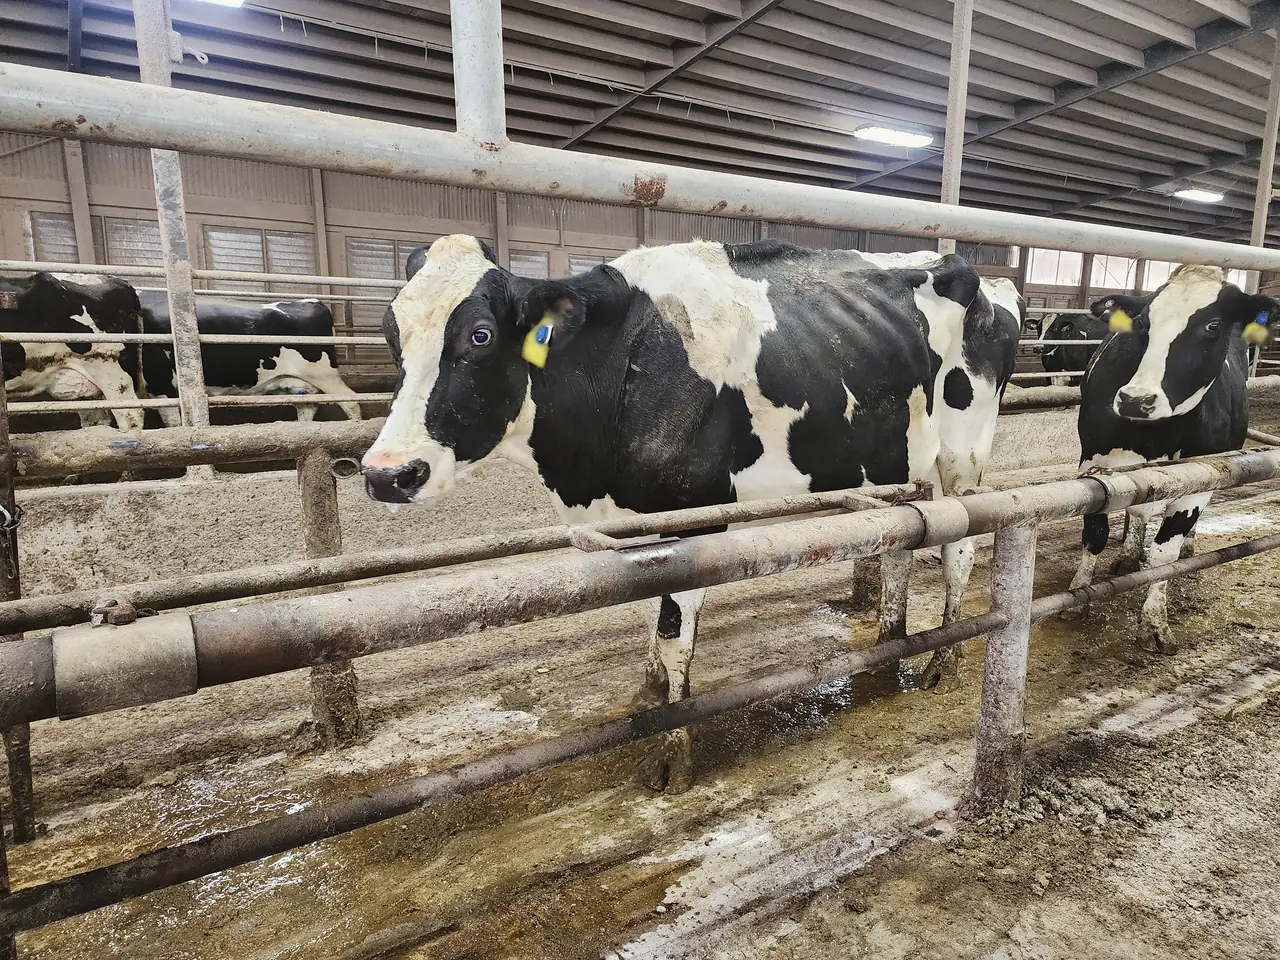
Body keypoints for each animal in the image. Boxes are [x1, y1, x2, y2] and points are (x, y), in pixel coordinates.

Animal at [136, 292, 362, 425]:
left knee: (350, 402)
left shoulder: (161, 384)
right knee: (306, 408)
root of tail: (312, 301)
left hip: (324, 373)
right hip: (296, 384)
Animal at [361, 235, 1019, 791]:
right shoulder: (638, 522)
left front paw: (671, 752)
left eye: (479, 336)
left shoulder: (695, 514)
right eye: (392, 332)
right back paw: (890, 642)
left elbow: (676, 634)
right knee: (902, 543)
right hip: (905, 468)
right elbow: (650, 614)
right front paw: (650, 692)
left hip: (962, 456)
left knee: (960, 548)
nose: (387, 473)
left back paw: (942, 659)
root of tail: (981, 276)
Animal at [1064, 265, 1275, 652]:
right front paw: (1078, 593)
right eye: (1142, 322)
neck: (1153, 436)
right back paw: (1129, 551)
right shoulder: (1094, 464)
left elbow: (1165, 555)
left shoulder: (1199, 481)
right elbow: (1095, 533)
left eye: (1213, 325)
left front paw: (1154, 623)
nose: (1135, 399)